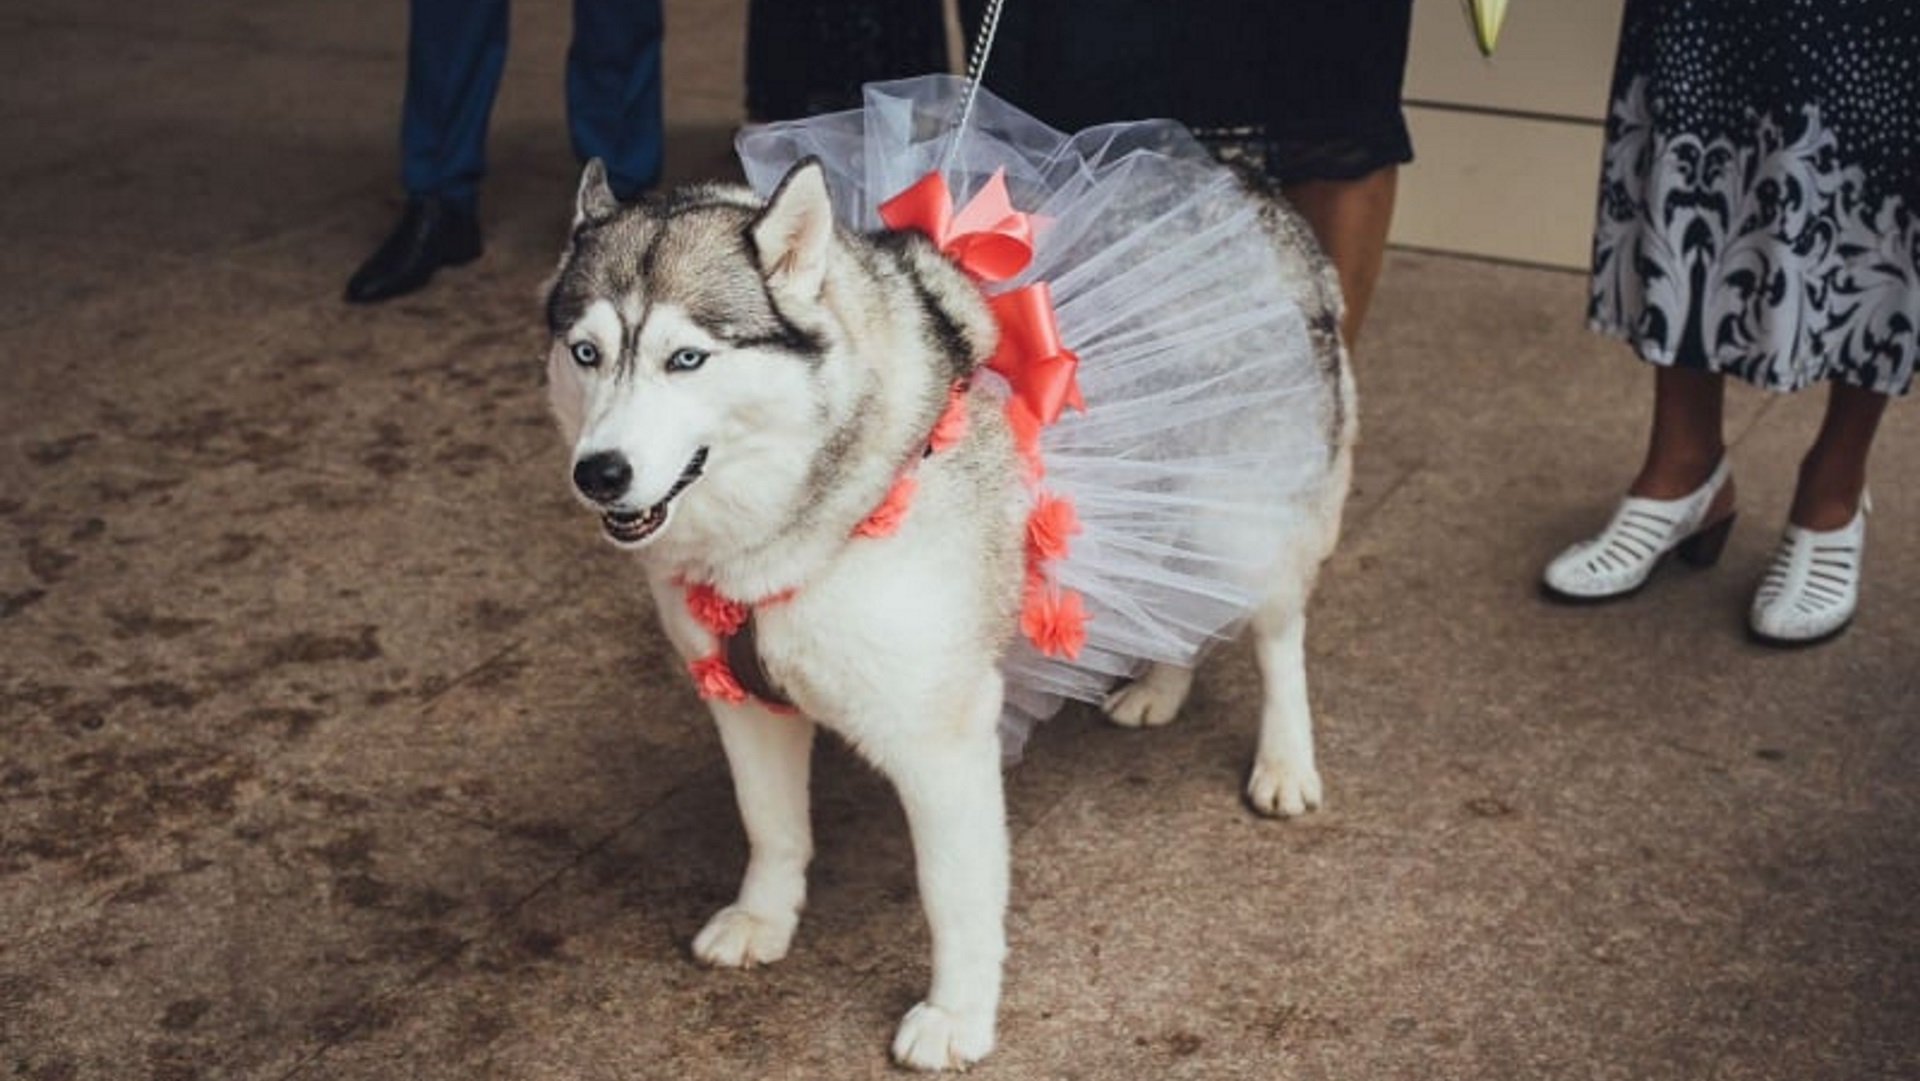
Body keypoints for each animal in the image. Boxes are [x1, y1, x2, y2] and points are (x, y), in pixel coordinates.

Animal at [541, 156, 1351, 1067]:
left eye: (687, 357)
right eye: (585, 352)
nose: (599, 472)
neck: (798, 526)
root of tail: (1247, 179)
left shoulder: (941, 739)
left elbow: (953, 891)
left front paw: (958, 1014)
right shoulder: (743, 698)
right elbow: (771, 823)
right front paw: (766, 915)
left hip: (1248, 513)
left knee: (1276, 631)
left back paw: (1284, 761)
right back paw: (1160, 683)